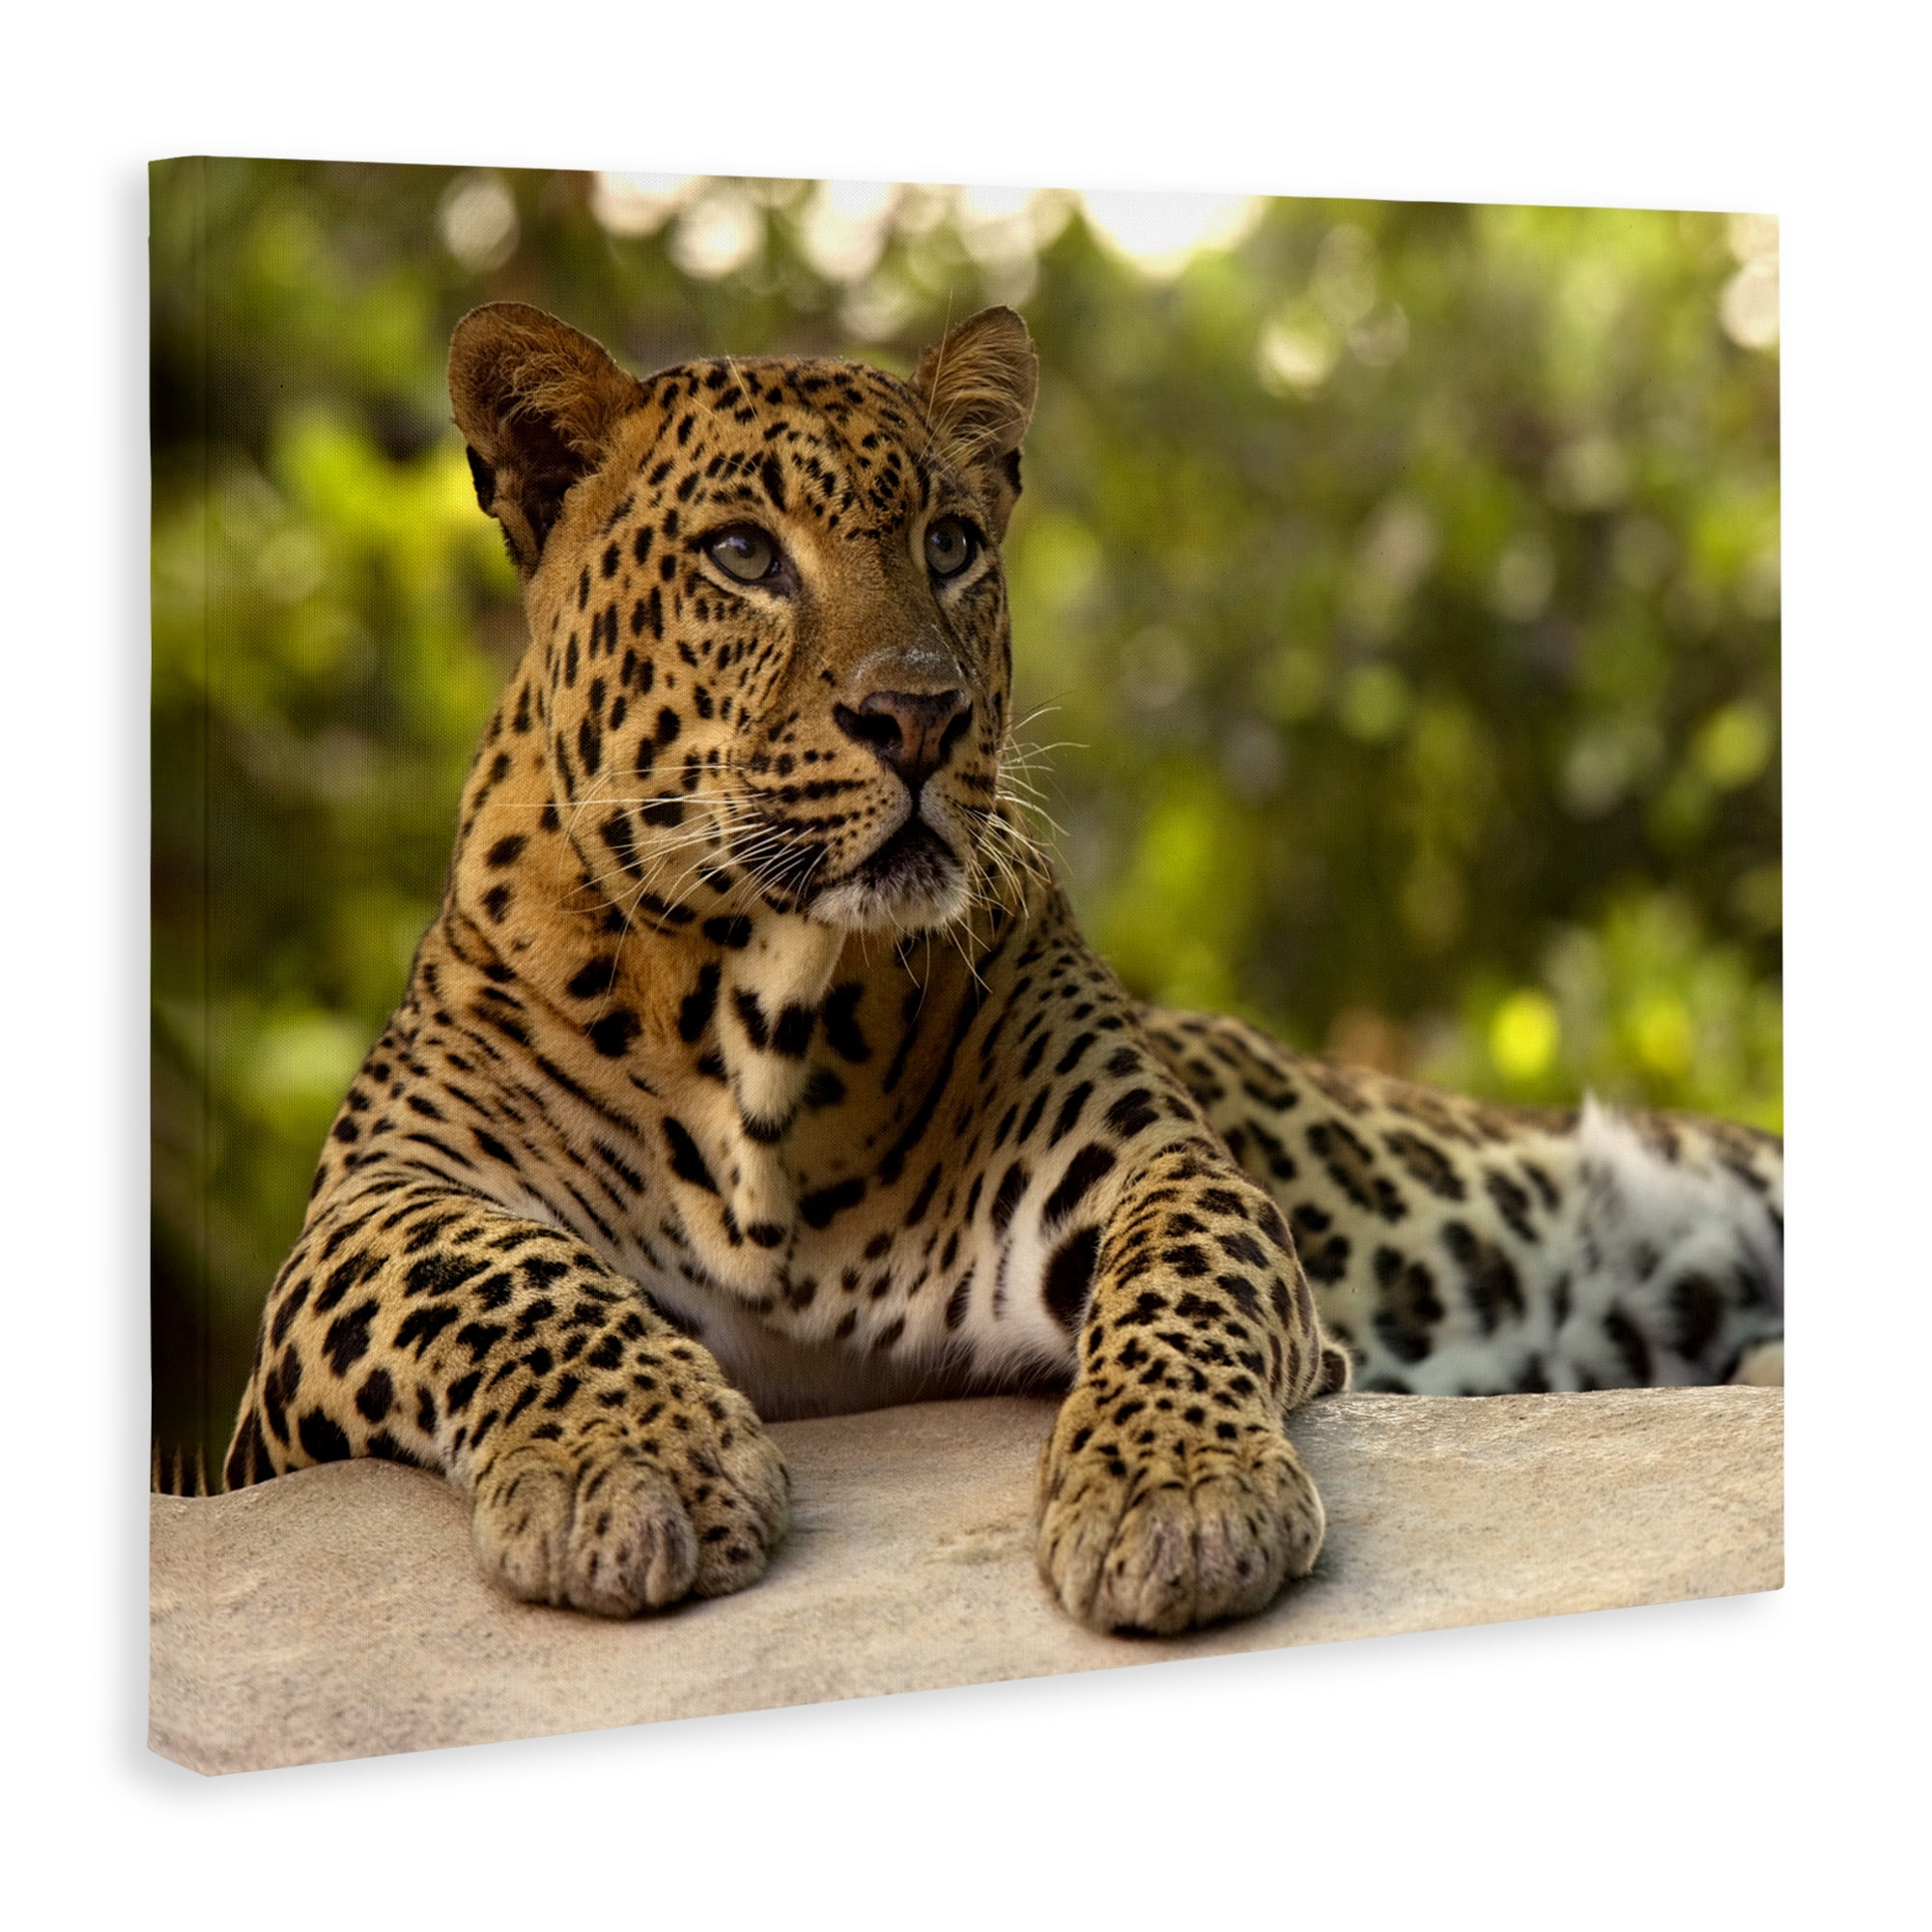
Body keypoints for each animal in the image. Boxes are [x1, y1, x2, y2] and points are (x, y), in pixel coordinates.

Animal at [219, 300, 1784, 1637]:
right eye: (743, 554)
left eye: (953, 542)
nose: (918, 715)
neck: (762, 1007)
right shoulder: (357, 1228)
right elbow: (495, 1274)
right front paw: (634, 1462)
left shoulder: (1143, 1161)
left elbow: (1182, 1273)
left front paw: (1175, 1490)